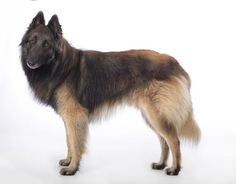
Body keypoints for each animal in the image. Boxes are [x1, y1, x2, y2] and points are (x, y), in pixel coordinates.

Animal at [20, 11, 201, 175]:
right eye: (32, 41)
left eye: (46, 44)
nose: (31, 62)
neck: (60, 65)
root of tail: (176, 64)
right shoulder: (68, 118)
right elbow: (69, 141)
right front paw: (68, 161)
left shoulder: (74, 116)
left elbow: (75, 143)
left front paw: (72, 168)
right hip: (151, 115)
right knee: (164, 141)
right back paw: (161, 164)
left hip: (156, 114)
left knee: (174, 140)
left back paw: (175, 169)